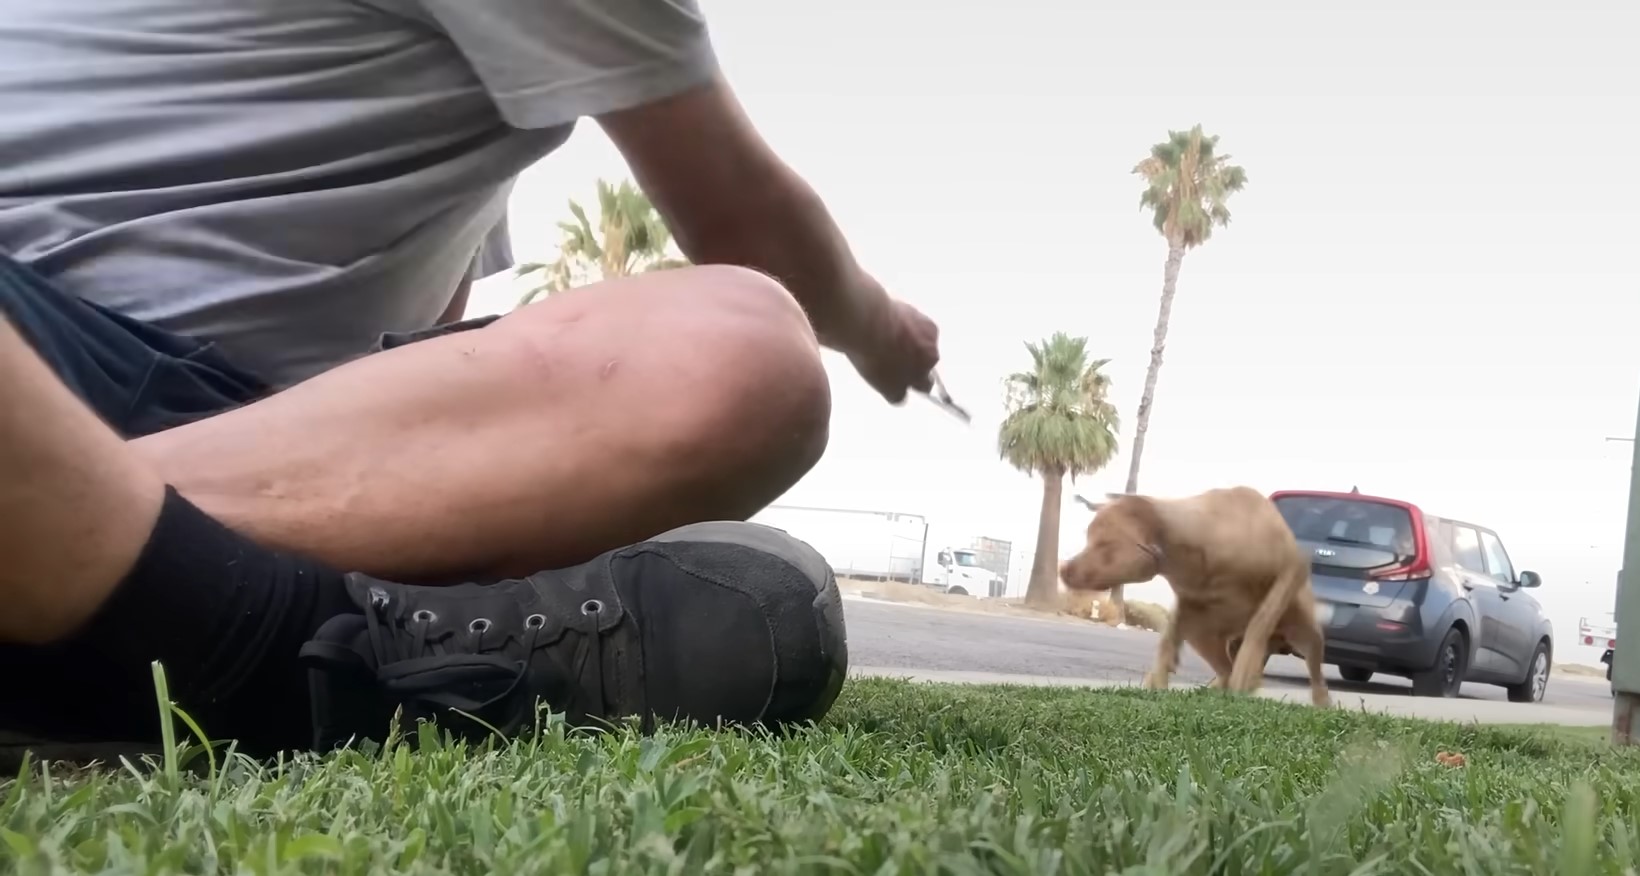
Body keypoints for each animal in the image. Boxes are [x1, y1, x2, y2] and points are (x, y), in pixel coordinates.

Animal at [1062, 488, 1331, 708]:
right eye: (1087, 537)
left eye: (1105, 545)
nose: (1063, 569)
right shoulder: (1188, 606)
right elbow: (1167, 643)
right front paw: (1155, 684)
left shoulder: (1292, 569)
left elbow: (1261, 620)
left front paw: (1244, 674)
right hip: (1204, 636)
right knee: (1224, 668)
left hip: (1307, 632)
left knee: (1314, 671)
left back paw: (1319, 702)